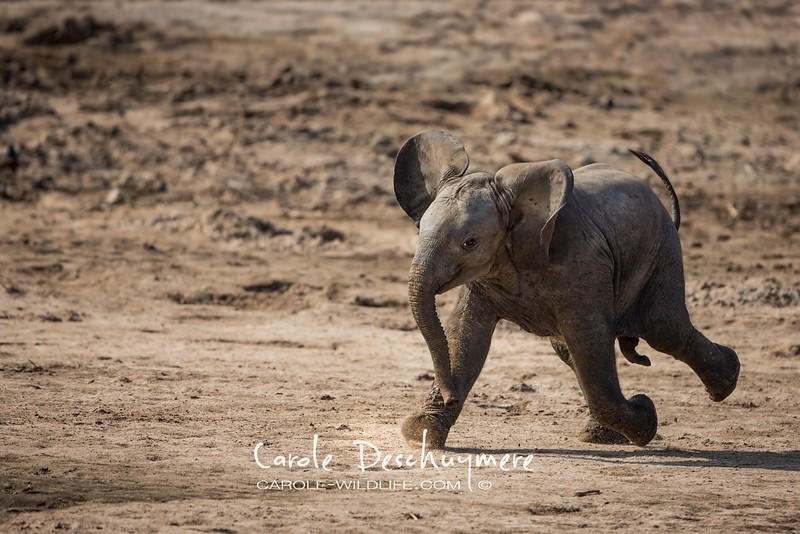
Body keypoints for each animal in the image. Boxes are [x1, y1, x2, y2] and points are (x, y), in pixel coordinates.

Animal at [396, 130, 740, 448]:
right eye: (420, 231)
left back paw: (727, 378)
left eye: (469, 243)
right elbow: (465, 334)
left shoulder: (581, 262)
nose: (450, 394)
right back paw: (603, 436)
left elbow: (588, 335)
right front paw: (422, 433)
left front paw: (645, 413)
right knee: (570, 350)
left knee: (664, 329)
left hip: (661, 252)